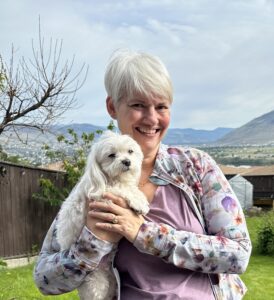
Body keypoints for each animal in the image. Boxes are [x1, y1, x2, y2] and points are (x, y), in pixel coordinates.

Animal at [56, 131, 150, 300]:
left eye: (130, 151)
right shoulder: (101, 196)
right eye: (111, 155)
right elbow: (120, 189)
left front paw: (138, 197)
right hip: (95, 282)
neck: (111, 178)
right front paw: (138, 202)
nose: (127, 162)